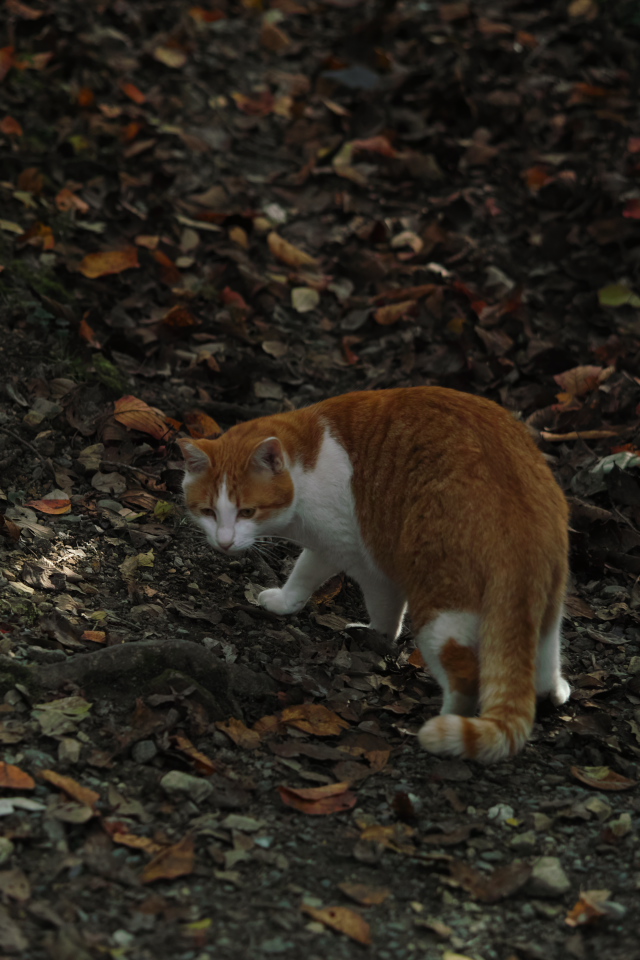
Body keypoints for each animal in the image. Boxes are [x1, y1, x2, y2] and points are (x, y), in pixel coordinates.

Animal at [179, 386, 568, 760]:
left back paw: (443, 725)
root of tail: (515, 516)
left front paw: (376, 635)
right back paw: (551, 690)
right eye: (209, 512)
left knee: (466, 677)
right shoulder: (334, 546)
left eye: (247, 511)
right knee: (541, 655)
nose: (224, 542)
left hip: (440, 606)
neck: (305, 462)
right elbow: (307, 572)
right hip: (547, 603)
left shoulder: (359, 554)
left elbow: (363, 598)